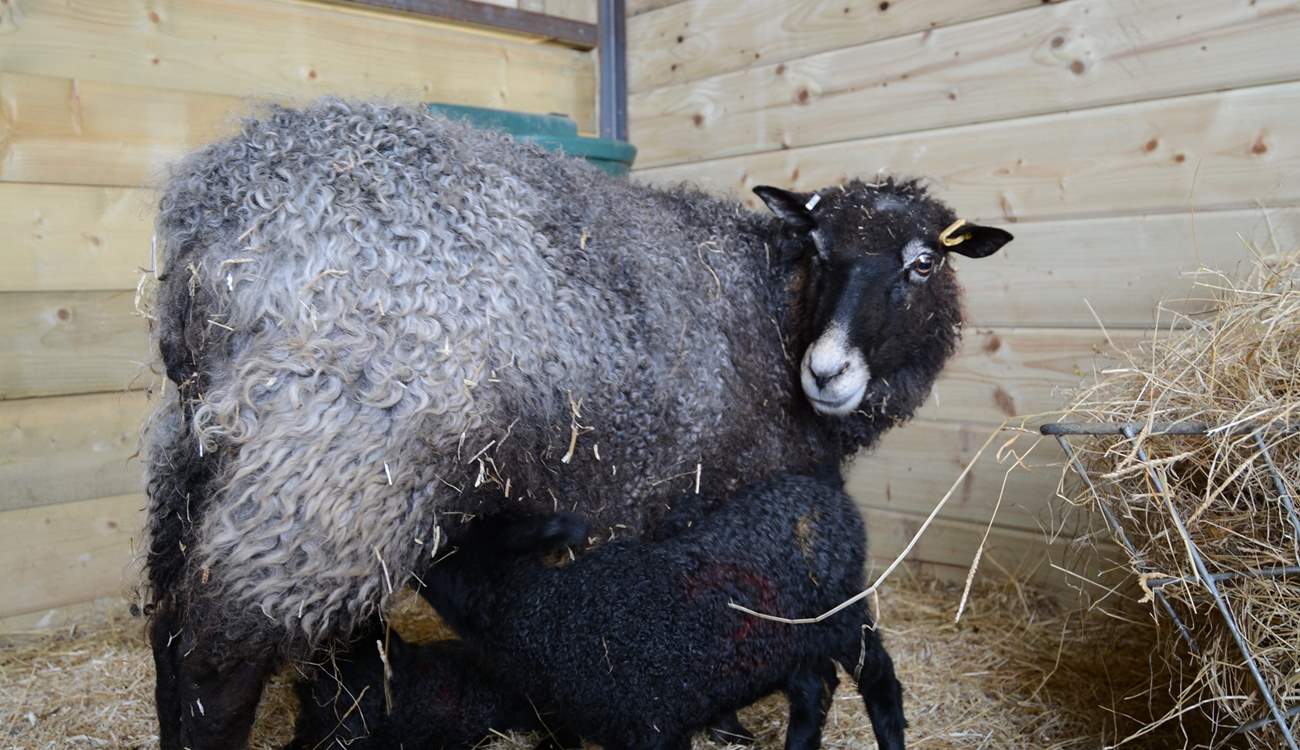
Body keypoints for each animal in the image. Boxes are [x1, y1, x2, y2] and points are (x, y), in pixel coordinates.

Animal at [422, 470, 906, 750]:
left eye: (451, 551)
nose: (414, 564)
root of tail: (826, 493)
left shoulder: (655, 724)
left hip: (842, 613)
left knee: (878, 679)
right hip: (798, 636)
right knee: (815, 685)